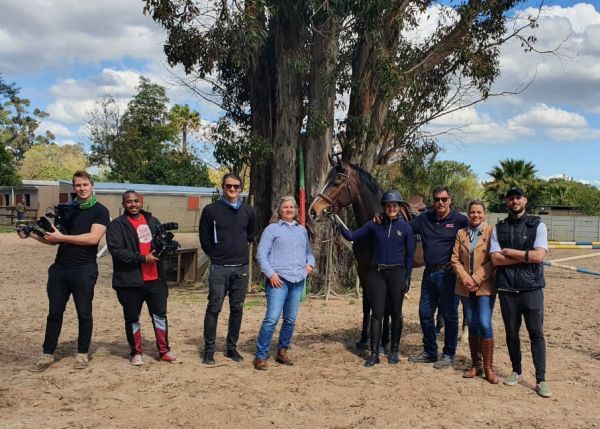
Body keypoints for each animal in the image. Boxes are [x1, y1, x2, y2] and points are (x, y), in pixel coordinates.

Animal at [312, 155, 424, 350]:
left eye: (336, 182)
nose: (313, 210)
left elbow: (386, 307)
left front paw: (384, 341)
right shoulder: (363, 270)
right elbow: (367, 304)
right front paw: (364, 340)